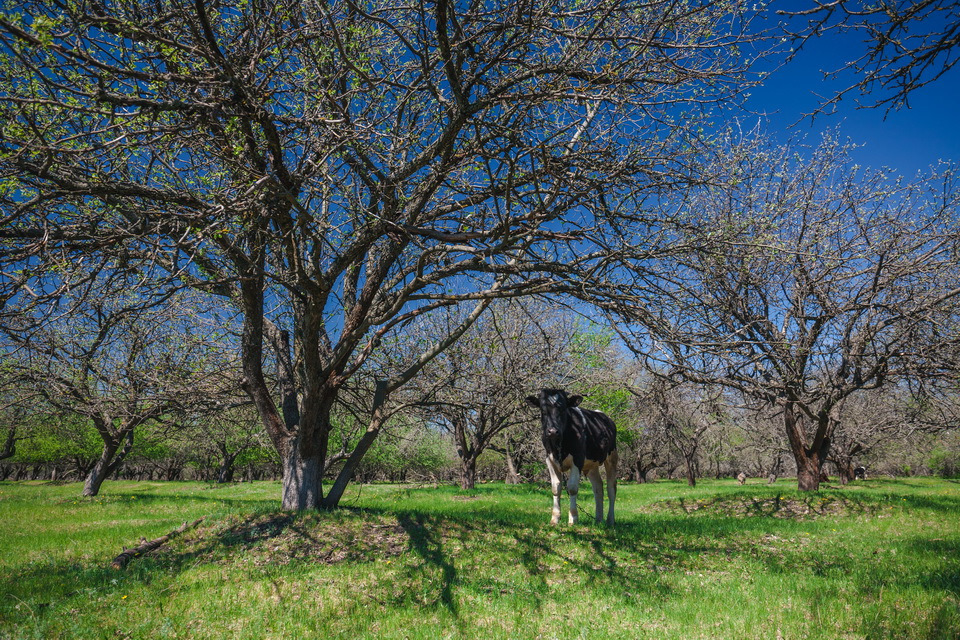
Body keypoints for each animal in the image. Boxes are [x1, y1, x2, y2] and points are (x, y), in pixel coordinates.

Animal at [524, 390, 624, 524]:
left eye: (563, 409)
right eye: (543, 410)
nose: (552, 431)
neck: (559, 446)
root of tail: (605, 416)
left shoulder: (578, 459)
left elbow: (572, 488)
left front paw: (573, 518)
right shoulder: (549, 460)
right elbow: (556, 488)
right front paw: (555, 519)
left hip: (612, 457)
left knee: (611, 488)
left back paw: (610, 520)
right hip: (591, 464)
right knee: (598, 487)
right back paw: (598, 519)